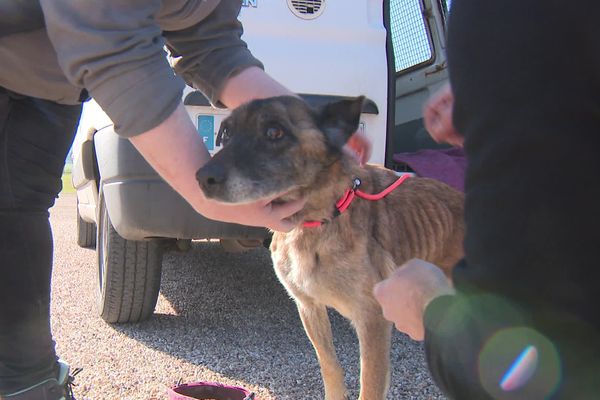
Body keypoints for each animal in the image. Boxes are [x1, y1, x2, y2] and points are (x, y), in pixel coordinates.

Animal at [197, 97, 464, 400]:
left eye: (274, 132)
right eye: (226, 133)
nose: (202, 177)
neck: (316, 222)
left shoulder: (373, 321)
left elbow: (369, 386)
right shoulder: (309, 306)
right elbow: (330, 366)